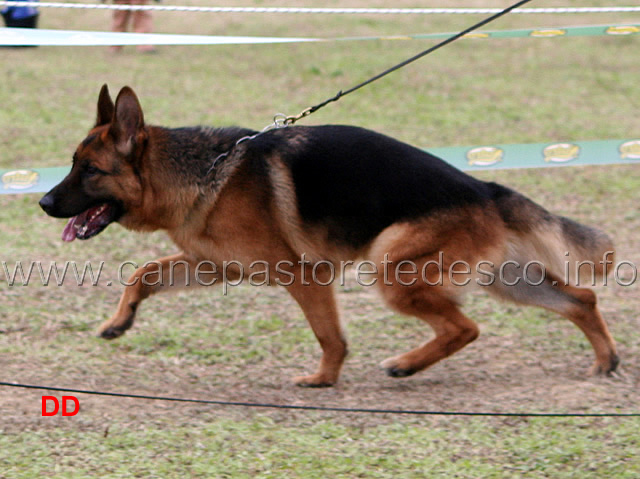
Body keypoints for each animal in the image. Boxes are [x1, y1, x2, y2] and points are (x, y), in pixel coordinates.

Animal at [37, 85, 616, 386]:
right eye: (72, 164)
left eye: (89, 171)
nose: (42, 203)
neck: (203, 171)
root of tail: (483, 186)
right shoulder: (213, 265)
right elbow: (143, 274)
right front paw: (119, 321)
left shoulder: (304, 275)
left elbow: (329, 336)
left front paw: (323, 380)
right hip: (503, 279)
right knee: (579, 299)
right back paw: (606, 360)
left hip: (392, 270)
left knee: (465, 327)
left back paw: (407, 363)